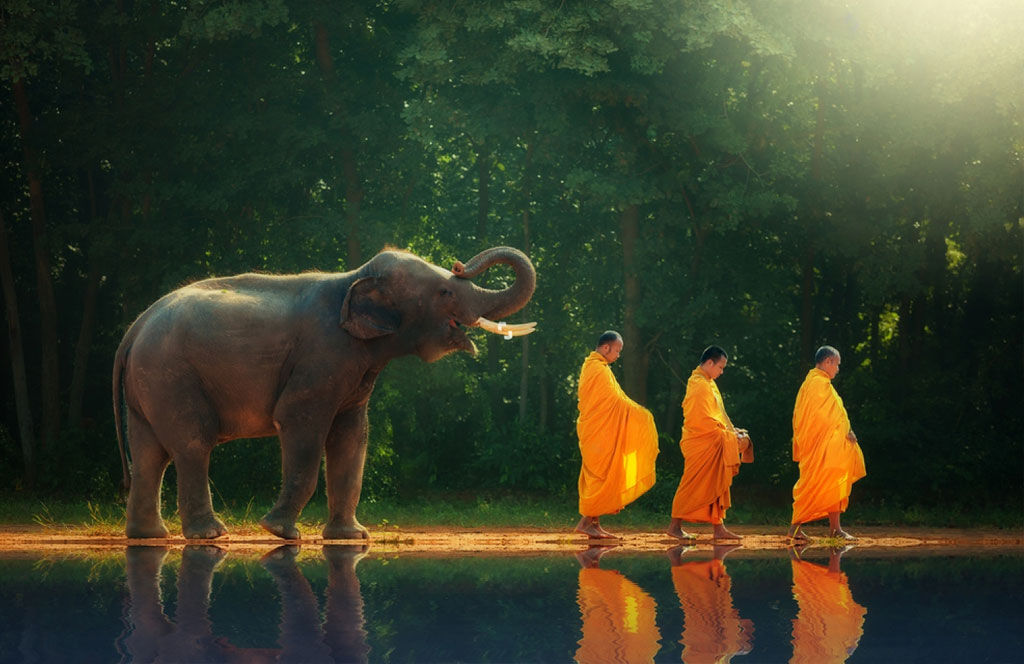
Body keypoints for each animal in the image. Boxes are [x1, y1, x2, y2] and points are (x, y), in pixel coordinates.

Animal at [113, 246, 536, 540]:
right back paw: (209, 535)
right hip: (170, 374)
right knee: (191, 444)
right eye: (446, 291)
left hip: (148, 382)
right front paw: (281, 533)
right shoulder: (323, 355)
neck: (354, 277)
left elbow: (353, 436)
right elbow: (300, 423)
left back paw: (149, 536)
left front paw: (353, 537)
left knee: (149, 453)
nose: (460, 264)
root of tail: (134, 329)